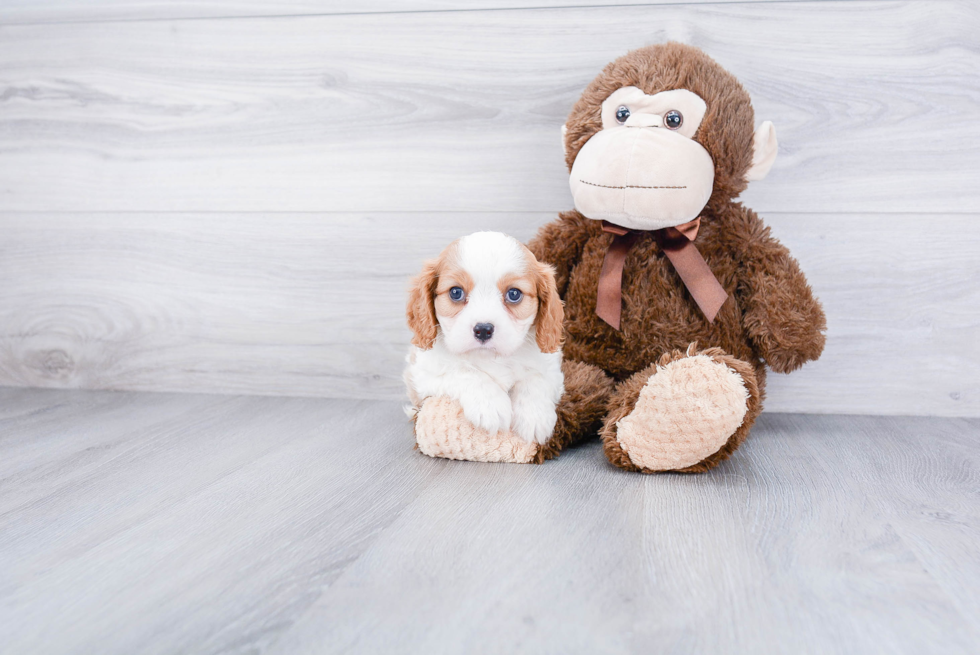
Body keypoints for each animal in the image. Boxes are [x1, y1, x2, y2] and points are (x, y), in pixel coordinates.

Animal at [402, 232, 564, 446]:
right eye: (455, 292)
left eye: (514, 294)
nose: (484, 330)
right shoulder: (424, 373)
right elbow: (465, 371)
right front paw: (491, 404)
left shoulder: (552, 369)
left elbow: (536, 379)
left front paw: (535, 416)